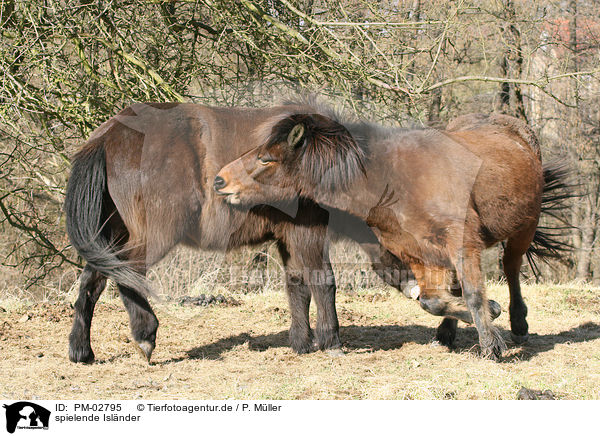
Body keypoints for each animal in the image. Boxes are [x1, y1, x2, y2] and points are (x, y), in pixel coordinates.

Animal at [214, 104, 568, 360]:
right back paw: (447, 335)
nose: (219, 179)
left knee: (511, 266)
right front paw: (485, 317)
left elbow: (473, 293)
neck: (397, 181)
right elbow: (433, 301)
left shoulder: (462, 244)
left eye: (265, 159)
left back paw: (518, 321)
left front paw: (491, 345)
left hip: (524, 227)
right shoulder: (421, 255)